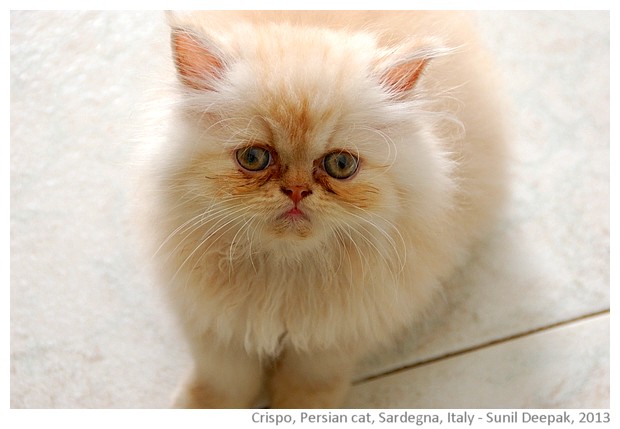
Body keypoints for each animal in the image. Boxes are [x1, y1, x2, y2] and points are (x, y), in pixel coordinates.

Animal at [142, 9, 508, 404]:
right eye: (253, 158)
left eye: (341, 165)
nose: (297, 191)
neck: (285, 273)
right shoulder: (216, 327)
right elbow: (223, 381)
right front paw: (199, 406)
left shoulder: (335, 337)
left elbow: (308, 384)